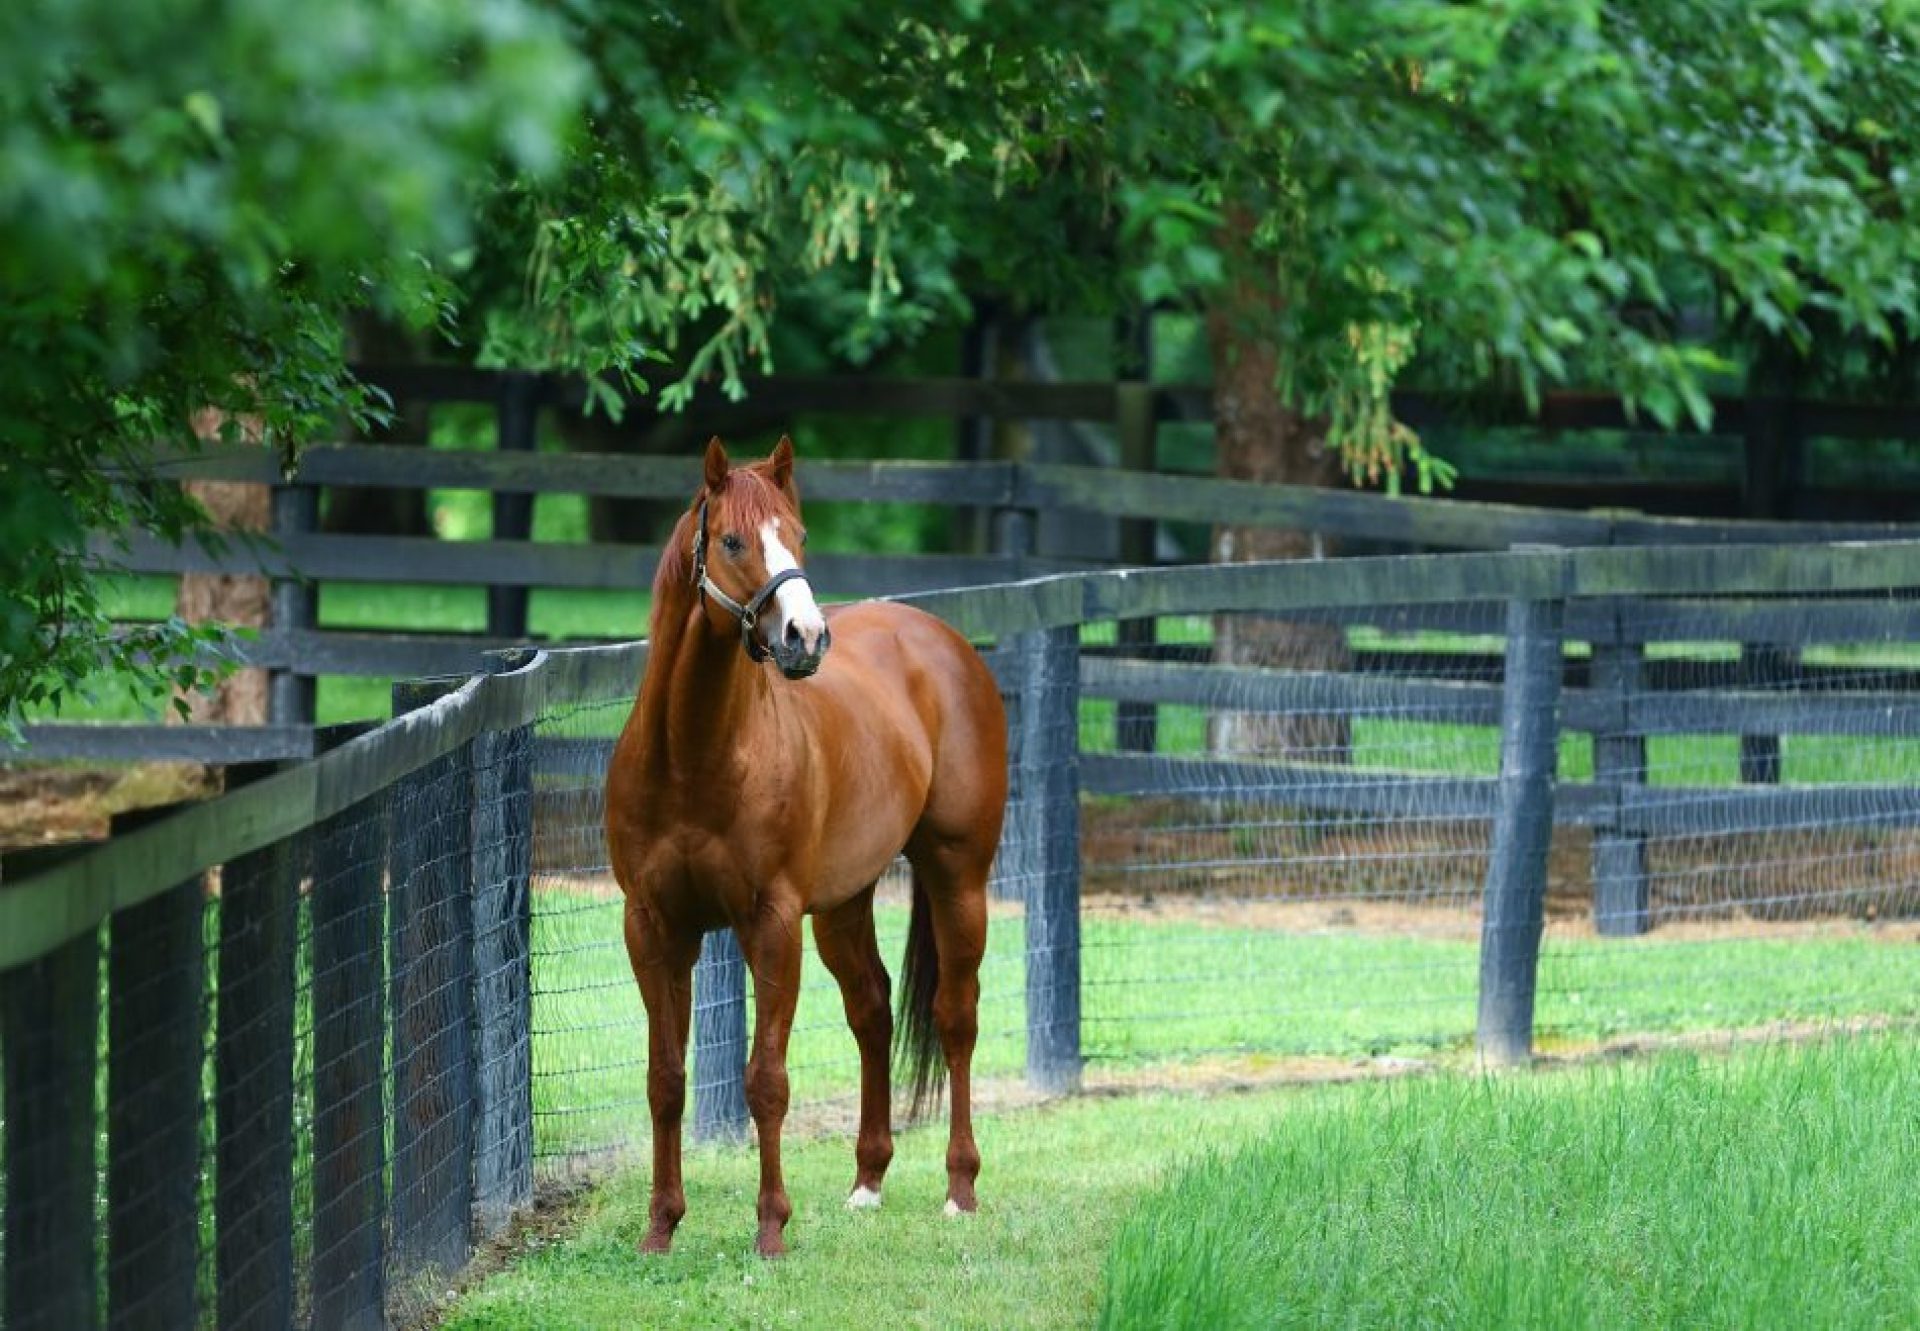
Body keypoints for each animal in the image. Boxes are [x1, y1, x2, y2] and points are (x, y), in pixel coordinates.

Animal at [610, 435, 1006, 1259]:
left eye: (797, 535)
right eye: (732, 541)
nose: (806, 637)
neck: (693, 756)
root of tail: (942, 642)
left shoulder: (770, 923)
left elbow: (767, 1079)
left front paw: (771, 1229)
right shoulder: (653, 928)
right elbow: (666, 1080)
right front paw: (660, 1227)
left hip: (958, 878)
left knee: (956, 1016)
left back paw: (959, 1188)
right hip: (845, 903)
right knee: (873, 1010)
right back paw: (868, 1181)